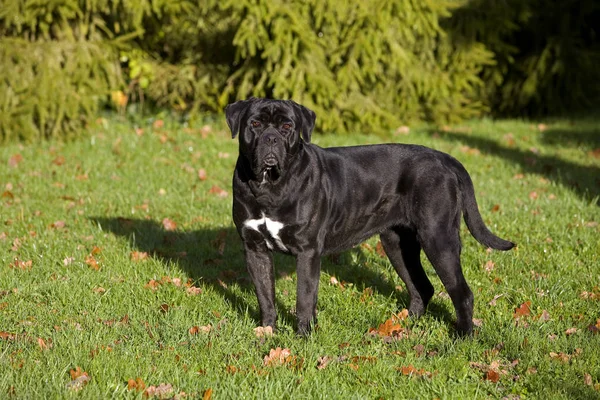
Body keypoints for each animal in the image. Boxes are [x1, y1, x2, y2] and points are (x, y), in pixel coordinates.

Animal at [223, 98, 512, 336]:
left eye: (286, 126)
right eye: (255, 124)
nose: (270, 138)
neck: (268, 186)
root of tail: (444, 158)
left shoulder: (307, 251)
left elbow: (304, 297)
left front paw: (303, 336)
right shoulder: (255, 249)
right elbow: (265, 295)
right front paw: (267, 331)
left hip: (438, 238)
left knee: (462, 292)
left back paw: (462, 336)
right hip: (397, 244)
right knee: (421, 286)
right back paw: (403, 325)